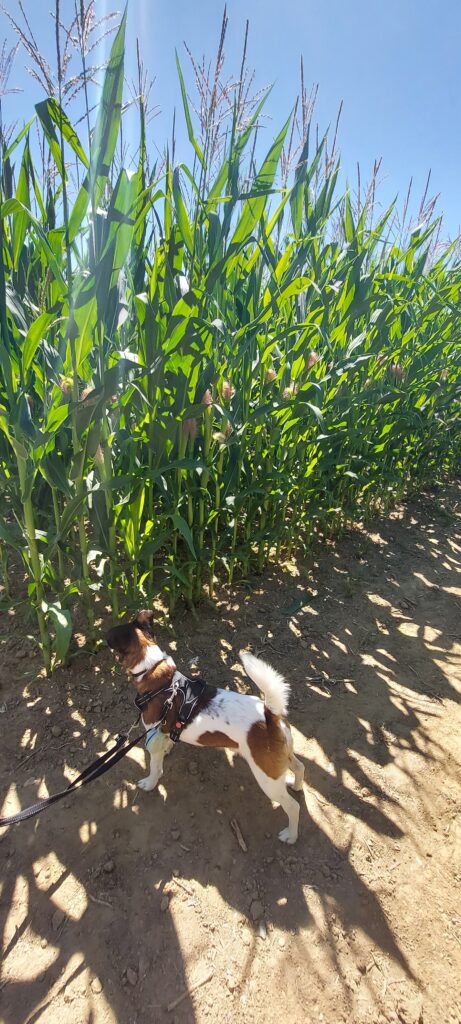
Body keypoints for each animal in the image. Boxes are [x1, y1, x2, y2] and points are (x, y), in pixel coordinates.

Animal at [106, 606, 305, 839]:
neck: (155, 671)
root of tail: (270, 717)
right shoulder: (163, 733)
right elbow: (168, 743)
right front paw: (169, 749)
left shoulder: (152, 736)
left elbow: (155, 768)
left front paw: (149, 783)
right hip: (282, 759)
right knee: (300, 767)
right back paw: (296, 785)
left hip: (267, 779)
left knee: (293, 807)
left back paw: (291, 835)